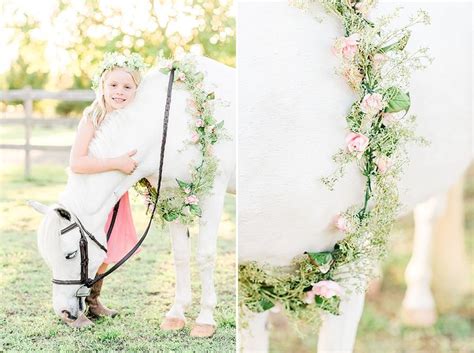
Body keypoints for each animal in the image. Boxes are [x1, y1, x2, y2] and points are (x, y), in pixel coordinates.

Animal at [29, 55, 235, 332]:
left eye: (70, 254)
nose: (63, 312)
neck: (169, 122)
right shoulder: (173, 196)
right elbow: (181, 255)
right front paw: (176, 314)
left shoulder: (211, 194)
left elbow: (205, 255)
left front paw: (205, 320)